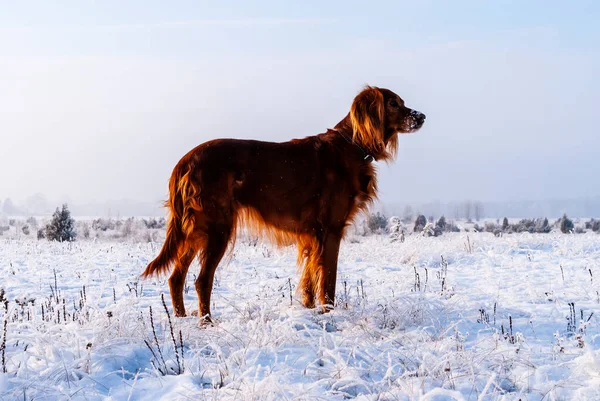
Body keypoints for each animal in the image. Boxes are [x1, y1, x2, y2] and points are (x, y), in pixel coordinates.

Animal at [142, 86, 424, 320]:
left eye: (401, 102)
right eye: (393, 103)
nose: (421, 116)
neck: (352, 146)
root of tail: (184, 161)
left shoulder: (312, 235)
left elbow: (309, 278)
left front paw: (310, 311)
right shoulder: (331, 230)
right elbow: (328, 281)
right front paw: (329, 313)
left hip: (195, 230)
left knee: (176, 278)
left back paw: (181, 320)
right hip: (217, 228)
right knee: (201, 280)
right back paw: (207, 323)